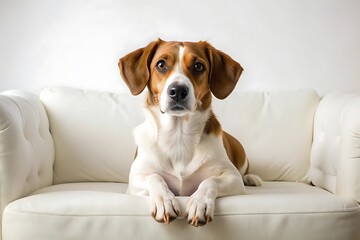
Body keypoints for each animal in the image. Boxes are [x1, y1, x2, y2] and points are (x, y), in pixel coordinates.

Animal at [118, 39, 262, 227]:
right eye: (161, 64)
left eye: (198, 66)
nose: (178, 90)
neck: (178, 135)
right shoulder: (135, 180)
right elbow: (155, 178)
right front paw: (165, 200)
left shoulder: (232, 177)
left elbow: (210, 180)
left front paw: (199, 203)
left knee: (244, 172)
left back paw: (251, 178)